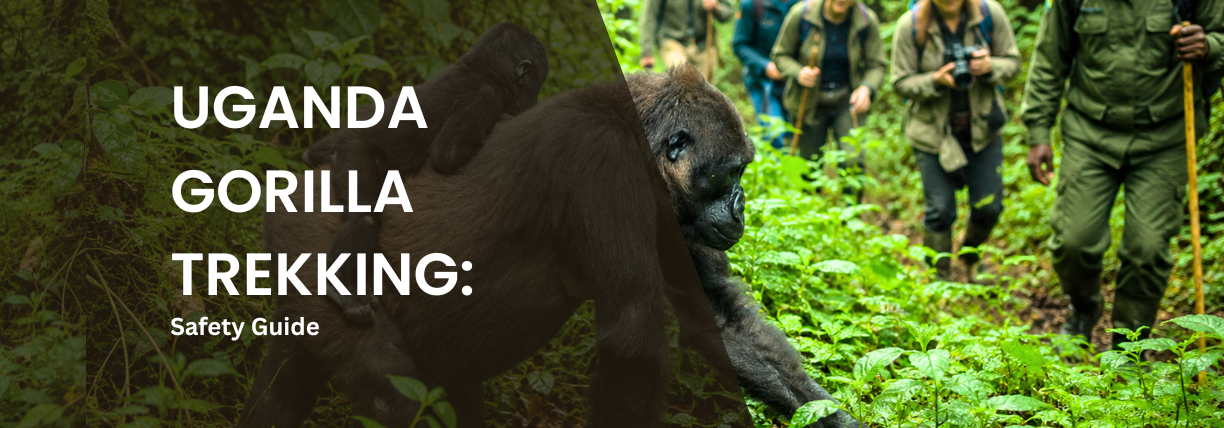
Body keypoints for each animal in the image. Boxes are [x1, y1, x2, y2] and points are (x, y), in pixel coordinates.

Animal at [242, 65, 856, 428]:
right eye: (731, 172)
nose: (742, 204)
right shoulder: (604, 164)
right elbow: (632, 340)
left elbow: (723, 321)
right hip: (308, 248)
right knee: (393, 389)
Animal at [303, 23, 550, 326]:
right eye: (537, 83)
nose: (534, 101)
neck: (483, 71)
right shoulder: (484, 98)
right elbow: (448, 154)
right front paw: (505, 119)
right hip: (353, 151)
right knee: (364, 216)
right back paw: (340, 288)